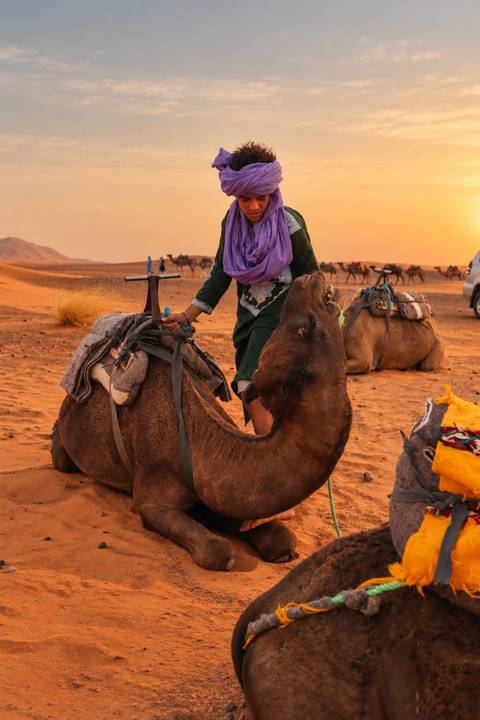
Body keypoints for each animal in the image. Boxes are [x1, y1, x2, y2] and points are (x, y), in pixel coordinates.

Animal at [51, 272, 352, 570]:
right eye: (308, 326)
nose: (312, 279)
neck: (201, 442)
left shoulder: (217, 495)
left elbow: (282, 538)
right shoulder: (150, 499)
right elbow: (218, 550)